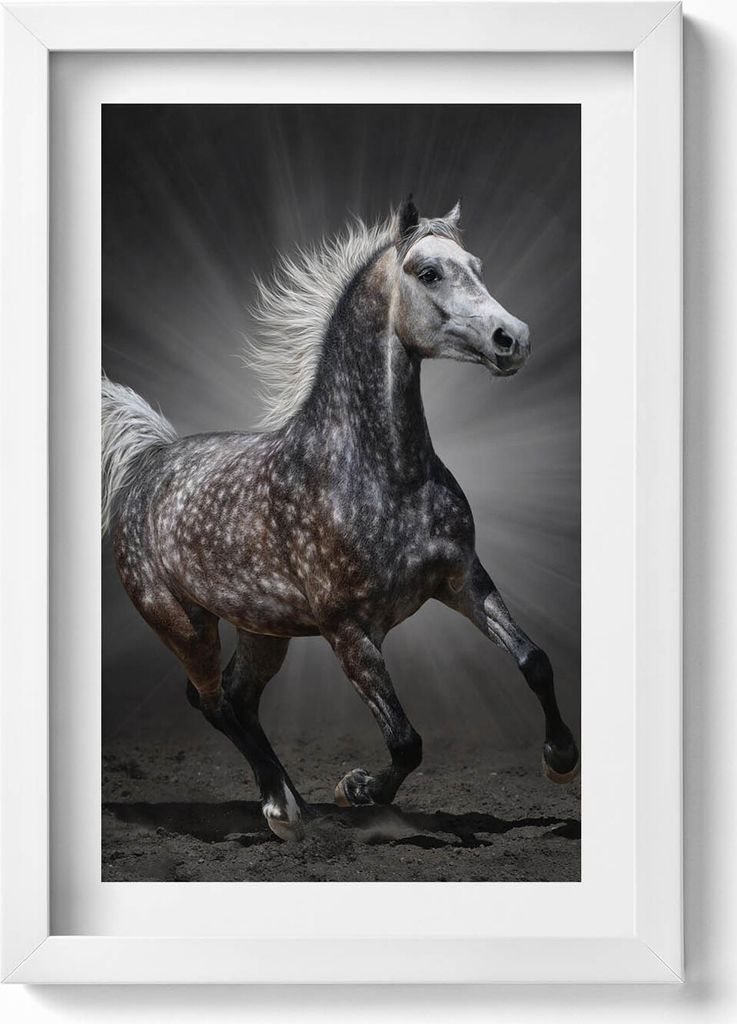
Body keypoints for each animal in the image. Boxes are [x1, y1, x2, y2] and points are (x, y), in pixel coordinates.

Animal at [102, 197, 579, 842]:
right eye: (429, 272)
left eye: (477, 266)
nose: (514, 339)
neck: (380, 474)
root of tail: (148, 461)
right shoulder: (347, 630)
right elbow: (405, 742)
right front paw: (356, 790)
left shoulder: (463, 579)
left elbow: (535, 661)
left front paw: (560, 759)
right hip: (183, 624)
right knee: (212, 700)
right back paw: (283, 810)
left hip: (263, 630)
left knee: (237, 699)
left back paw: (290, 802)